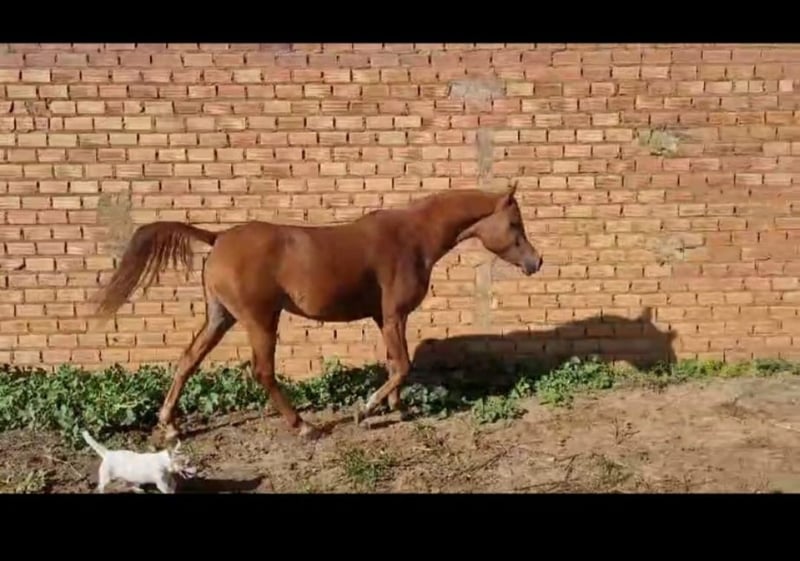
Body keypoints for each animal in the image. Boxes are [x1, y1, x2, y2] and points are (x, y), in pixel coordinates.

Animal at [92, 184, 543, 443]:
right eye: (515, 224)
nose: (536, 262)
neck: (412, 238)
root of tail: (218, 237)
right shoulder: (393, 315)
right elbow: (401, 365)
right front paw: (366, 410)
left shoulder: (384, 319)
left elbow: (394, 363)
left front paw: (396, 408)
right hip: (261, 320)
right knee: (263, 371)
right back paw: (304, 426)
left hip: (220, 317)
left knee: (188, 360)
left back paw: (168, 425)